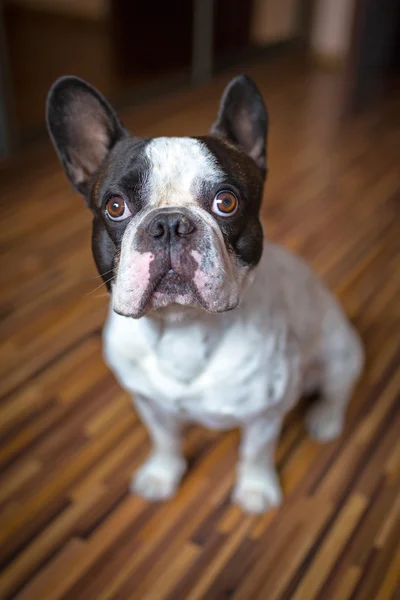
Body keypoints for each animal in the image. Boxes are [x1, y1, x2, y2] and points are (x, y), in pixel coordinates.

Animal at [45, 75, 364, 512]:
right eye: (115, 206)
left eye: (226, 202)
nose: (168, 224)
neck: (183, 327)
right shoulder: (149, 404)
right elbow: (164, 440)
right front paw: (162, 475)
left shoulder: (264, 416)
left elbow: (256, 452)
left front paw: (256, 488)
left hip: (340, 351)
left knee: (339, 387)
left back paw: (326, 418)